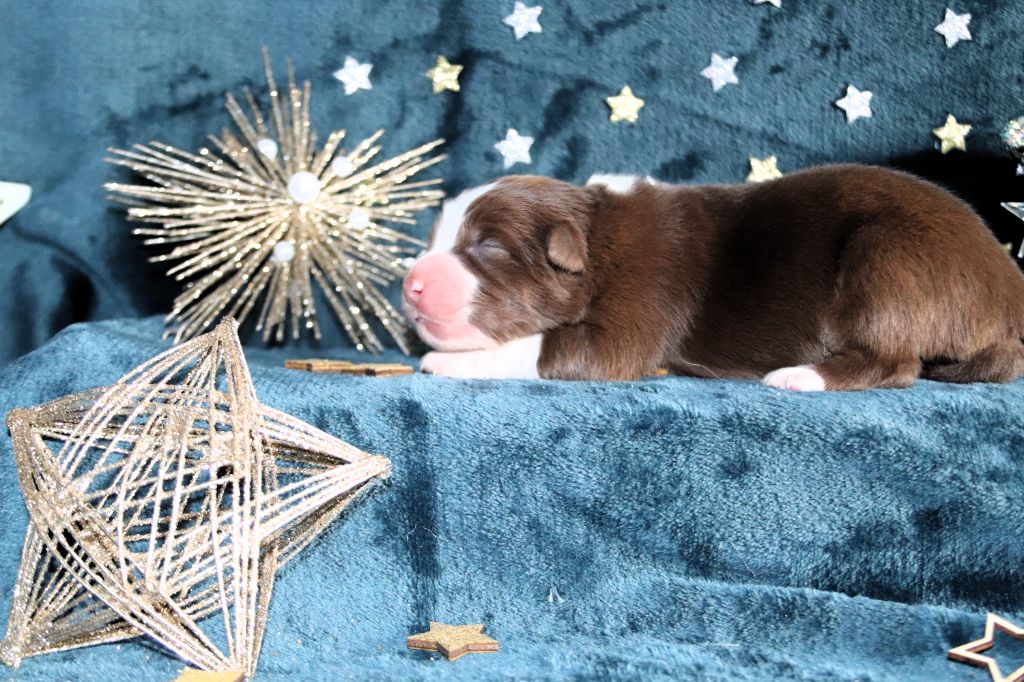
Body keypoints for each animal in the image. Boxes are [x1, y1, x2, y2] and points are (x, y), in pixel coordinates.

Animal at [401, 165, 1024, 390]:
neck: (598, 242)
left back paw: (800, 377)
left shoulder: (635, 309)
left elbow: (546, 347)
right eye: (433, 242)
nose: (411, 284)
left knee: (893, 363)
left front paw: (443, 362)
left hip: (886, 258)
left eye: (486, 245)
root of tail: (1007, 285)